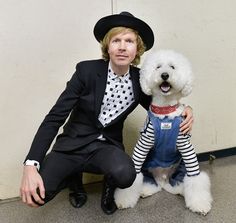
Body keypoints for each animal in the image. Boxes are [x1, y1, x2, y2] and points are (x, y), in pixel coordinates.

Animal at [114, 49, 212, 215]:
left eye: (172, 67)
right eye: (158, 67)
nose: (164, 75)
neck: (165, 115)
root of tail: (163, 180)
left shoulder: (186, 147)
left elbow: (195, 179)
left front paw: (200, 204)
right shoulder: (143, 145)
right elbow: (134, 175)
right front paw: (124, 200)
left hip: (181, 167)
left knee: (181, 182)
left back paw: (180, 190)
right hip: (148, 169)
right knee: (150, 182)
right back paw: (145, 190)